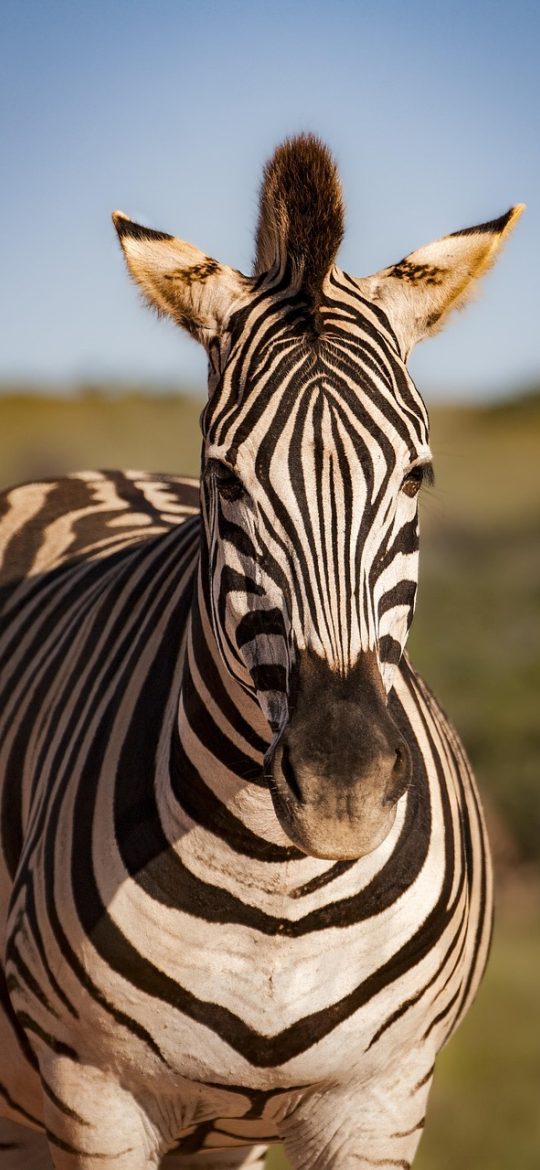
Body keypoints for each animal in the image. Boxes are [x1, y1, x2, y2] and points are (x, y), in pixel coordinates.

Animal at [0, 134, 523, 1170]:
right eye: (224, 479)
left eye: (418, 475)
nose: (341, 790)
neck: (277, 889)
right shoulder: (93, 1097)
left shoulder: (380, 1101)